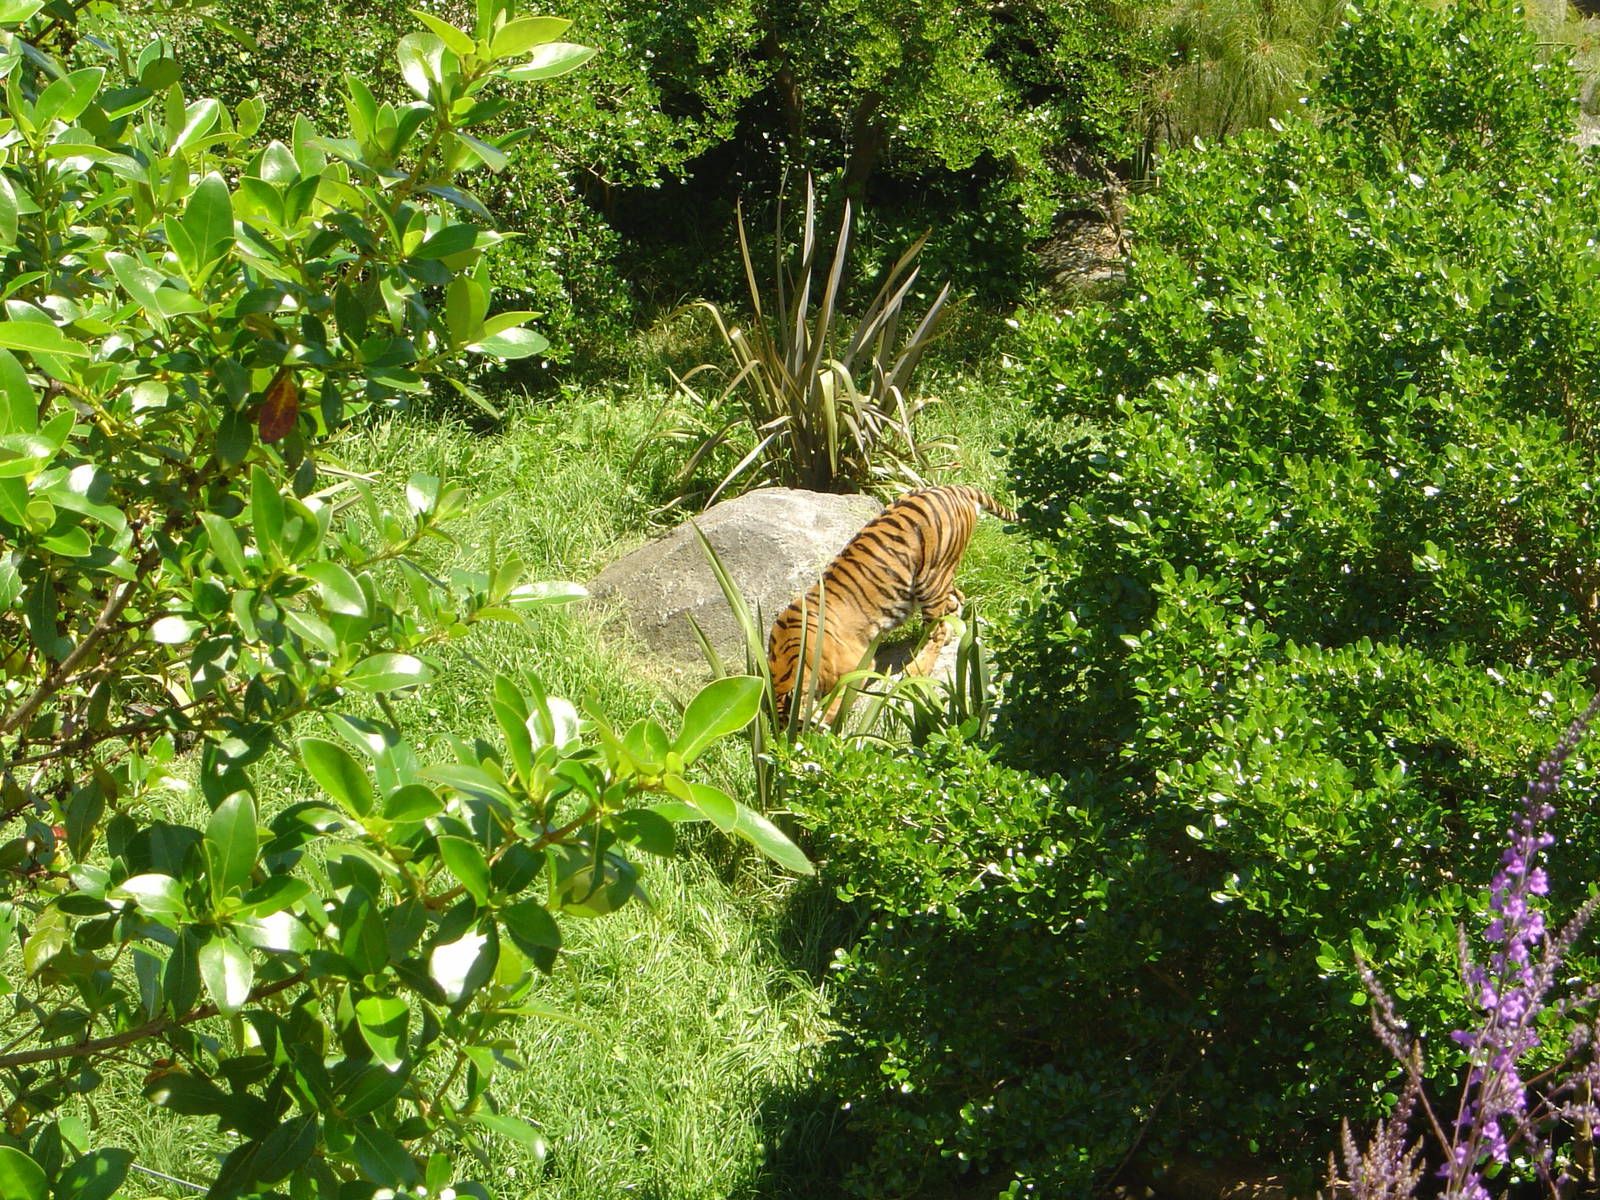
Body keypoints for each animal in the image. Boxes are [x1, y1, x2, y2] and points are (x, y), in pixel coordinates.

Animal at [767, 484, 1017, 726]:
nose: (789, 739)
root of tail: (956, 488)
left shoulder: (858, 666)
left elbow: (838, 699)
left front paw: (827, 722)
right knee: (956, 601)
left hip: (931, 578)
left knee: (937, 628)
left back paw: (917, 669)